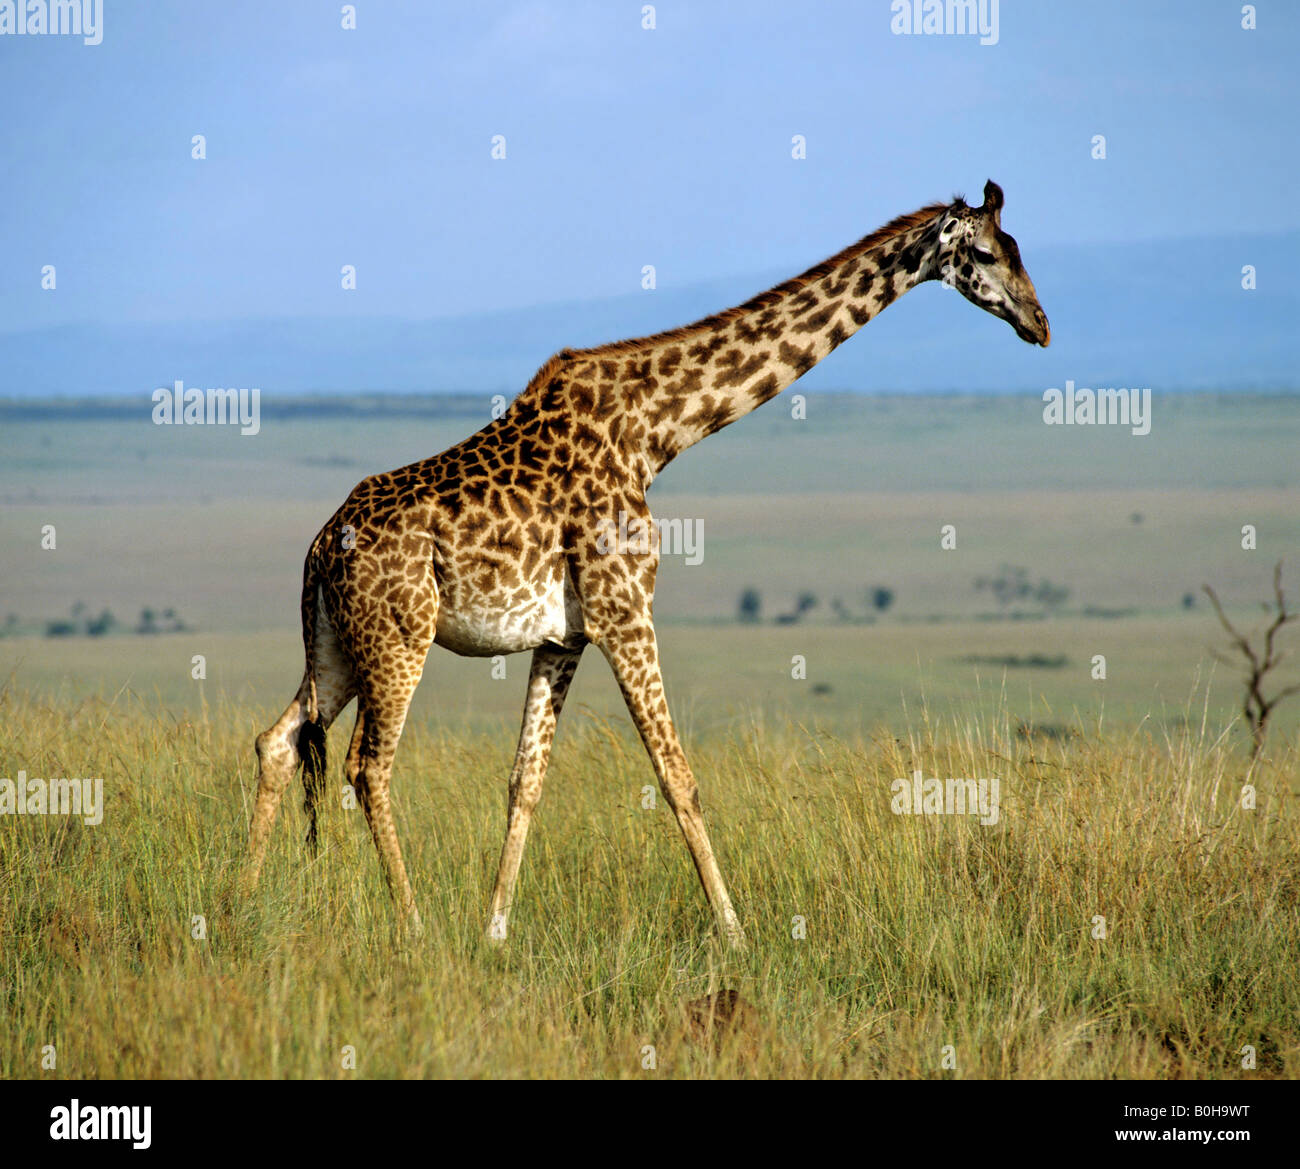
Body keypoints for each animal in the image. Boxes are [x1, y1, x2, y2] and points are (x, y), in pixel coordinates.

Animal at [244, 180, 1050, 951]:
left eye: (1019, 248)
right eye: (984, 254)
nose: (1039, 323)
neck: (656, 430)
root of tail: (320, 546)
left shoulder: (564, 634)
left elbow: (525, 780)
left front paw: (496, 931)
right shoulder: (626, 611)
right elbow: (677, 777)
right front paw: (736, 934)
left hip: (338, 645)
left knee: (278, 740)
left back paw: (240, 902)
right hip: (396, 641)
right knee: (366, 767)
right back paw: (411, 927)